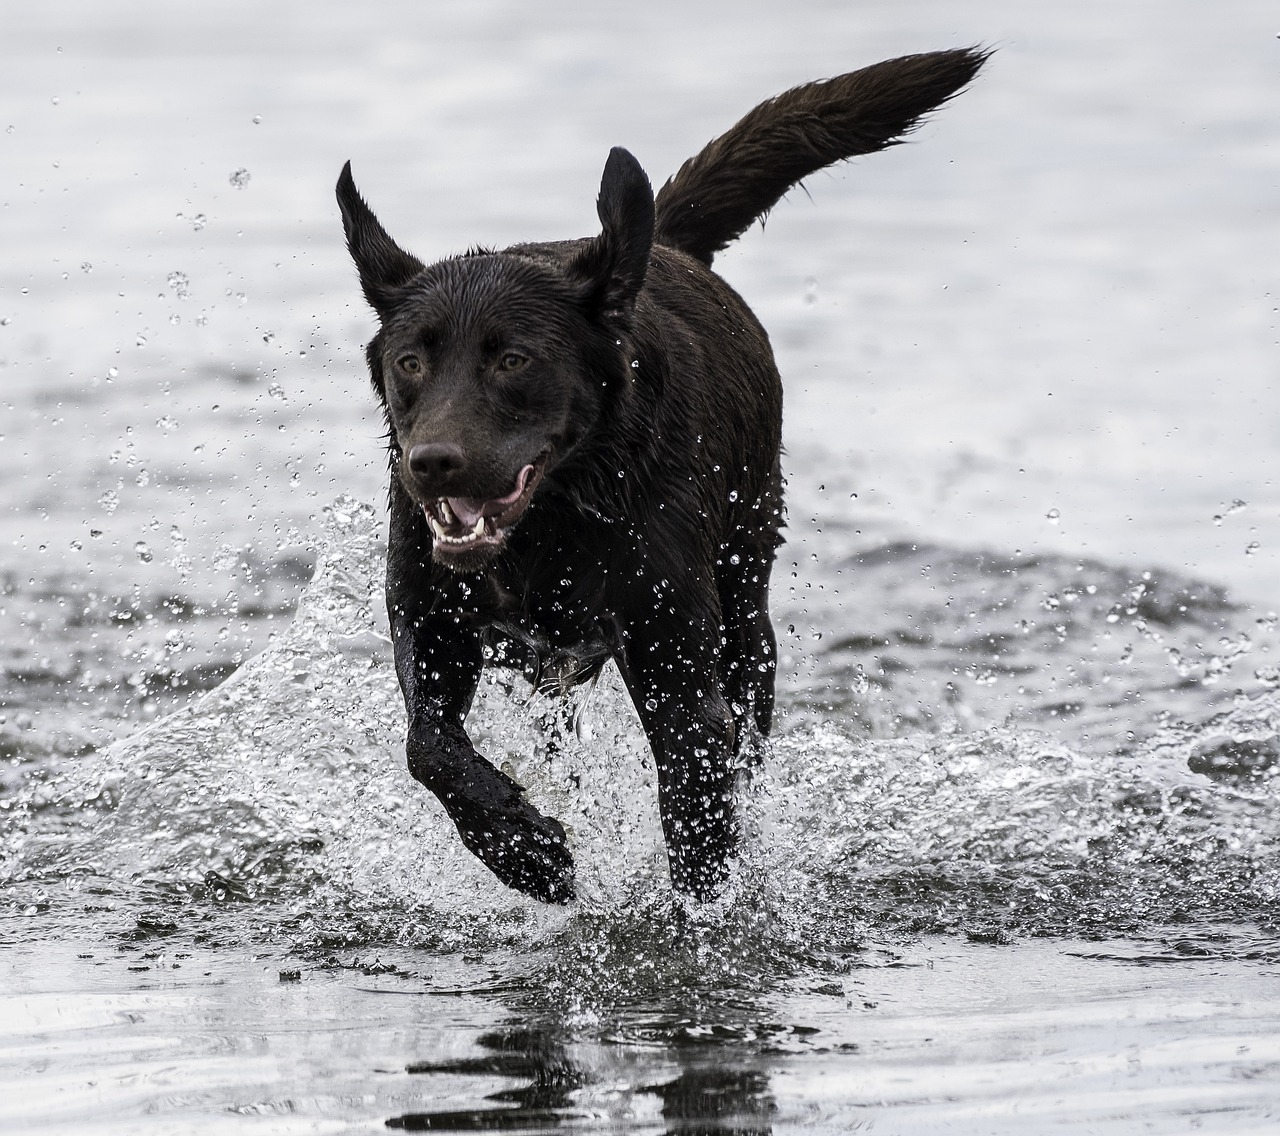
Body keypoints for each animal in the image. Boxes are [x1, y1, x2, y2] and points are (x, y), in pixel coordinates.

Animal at [335, 48, 983, 905]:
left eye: (514, 360)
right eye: (411, 362)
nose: (432, 463)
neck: (557, 519)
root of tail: (660, 247)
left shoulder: (679, 677)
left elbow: (699, 822)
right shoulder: (431, 618)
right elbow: (428, 746)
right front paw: (524, 850)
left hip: (745, 610)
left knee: (746, 729)